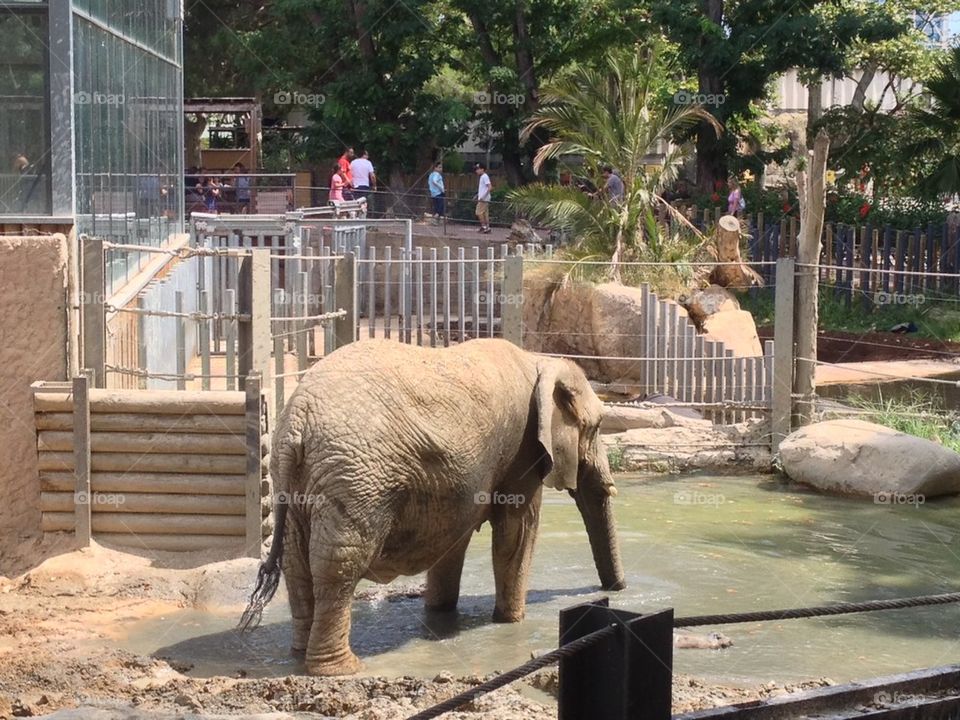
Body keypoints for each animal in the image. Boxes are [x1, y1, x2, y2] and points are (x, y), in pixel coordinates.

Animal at [239, 338, 626, 676]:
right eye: (596, 428)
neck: (539, 360)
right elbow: (515, 535)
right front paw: (510, 622)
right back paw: (341, 669)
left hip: (297, 483)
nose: (616, 590)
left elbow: (454, 540)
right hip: (355, 479)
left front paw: (441, 614)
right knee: (338, 564)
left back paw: (299, 655)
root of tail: (296, 422)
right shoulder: (523, 450)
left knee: (297, 563)